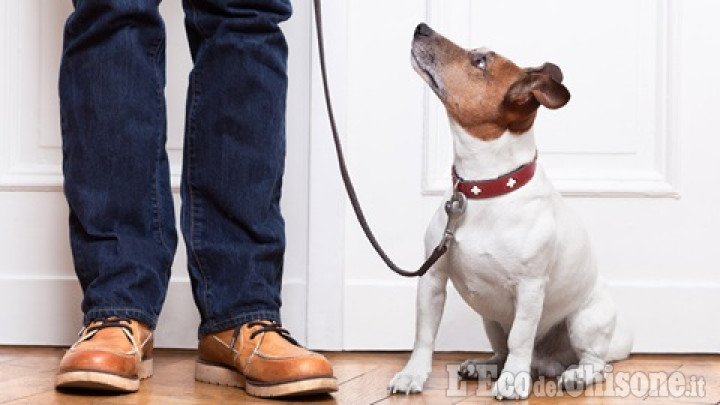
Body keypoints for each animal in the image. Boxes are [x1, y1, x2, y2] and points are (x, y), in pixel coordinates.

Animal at [388, 22, 632, 398]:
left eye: (480, 61)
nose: (421, 27)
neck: (484, 189)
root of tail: (547, 363)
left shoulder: (530, 288)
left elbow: (521, 337)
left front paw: (514, 381)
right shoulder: (432, 278)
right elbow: (424, 334)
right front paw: (412, 375)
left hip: (585, 321)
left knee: (595, 362)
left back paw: (573, 374)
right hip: (490, 321)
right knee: (502, 349)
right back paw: (486, 366)